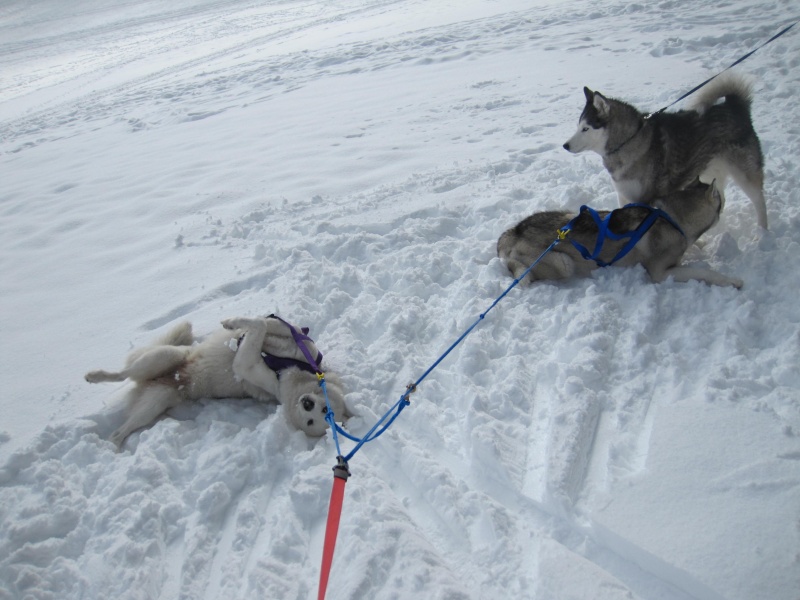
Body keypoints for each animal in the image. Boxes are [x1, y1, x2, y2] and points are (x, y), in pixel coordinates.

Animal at [86, 316, 352, 448]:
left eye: (312, 420)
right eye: (323, 410)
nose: (307, 404)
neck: (297, 372)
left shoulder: (246, 365)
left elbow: (259, 328)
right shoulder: (299, 339)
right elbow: (270, 324)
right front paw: (233, 323)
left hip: (155, 402)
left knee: (121, 425)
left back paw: (113, 443)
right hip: (163, 358)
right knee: (124, 373)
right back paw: (95, 375)